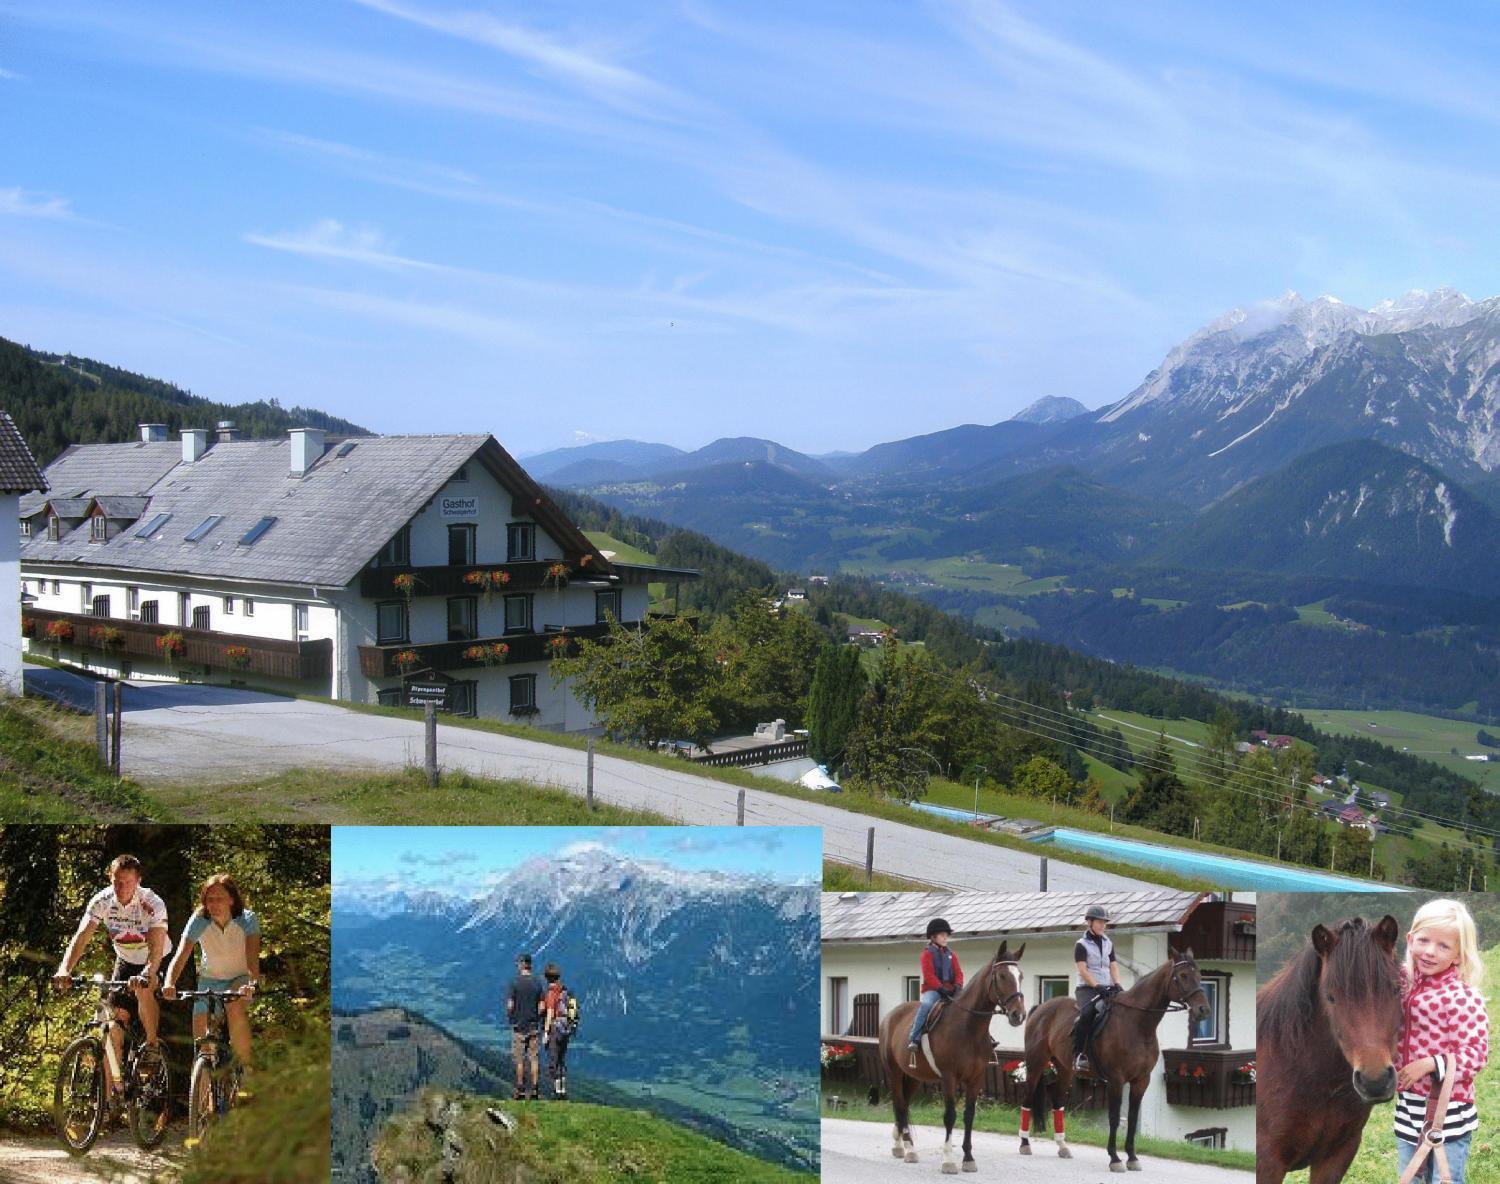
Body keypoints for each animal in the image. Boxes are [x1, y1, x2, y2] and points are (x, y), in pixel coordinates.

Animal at [876, 942, 1026, 1170]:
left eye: (1021, 976)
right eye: (1001, 976)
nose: (1019, 1015)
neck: (968, 1028)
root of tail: (890, 1017)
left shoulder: (976, 1078)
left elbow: (969, 1115)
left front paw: (968, 1158)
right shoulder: (949, 1077)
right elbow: (950, 1116)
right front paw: (948, 1160)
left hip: (912, 1077)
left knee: (903, 1106)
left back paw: (900, 1144)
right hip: (894, 1073)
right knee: (900, 1105)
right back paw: (909, 1149)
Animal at [1014, 948, 1212, 1170]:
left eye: (1200, 976)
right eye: (1183, 976)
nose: (1204, 1010)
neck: (1137, 1024)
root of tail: (1040, 1008)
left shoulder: (1141, 1081)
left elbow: (1132, 1119)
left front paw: (1132, 1157)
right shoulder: (1116, 1080)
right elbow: (1115, 1117)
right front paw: (1115, 1158)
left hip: (1064, 1067)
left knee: (1057, 1100)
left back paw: (1062, 1146)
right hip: (1036, 1064)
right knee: (1027, 1097)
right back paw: (1025, 1143)